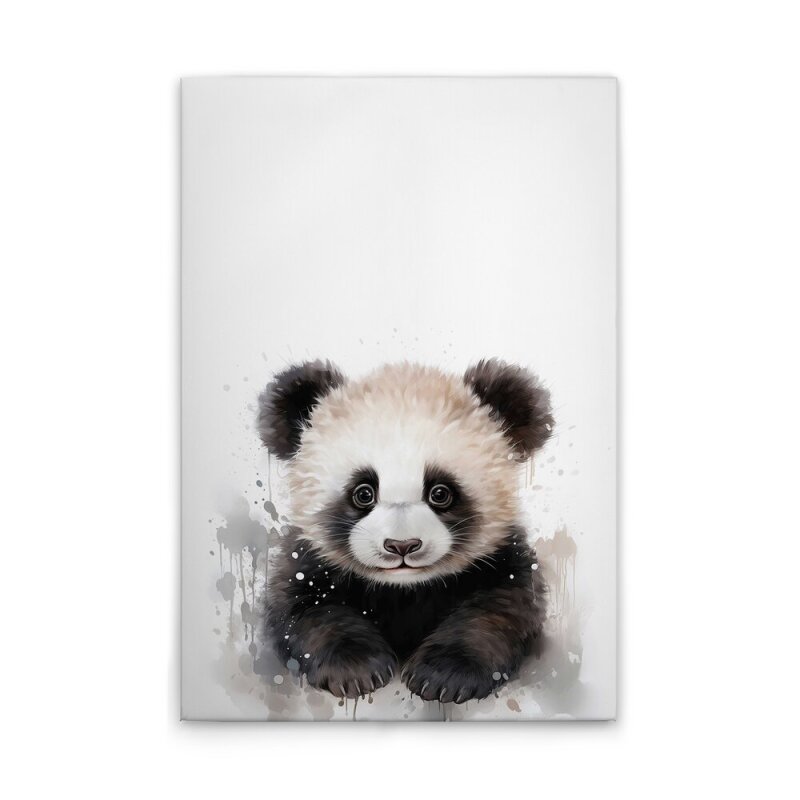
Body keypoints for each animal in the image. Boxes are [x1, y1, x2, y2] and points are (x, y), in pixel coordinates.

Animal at [257, 358, 553, 704]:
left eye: (440, 493)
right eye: (363, 493)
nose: (402, 545)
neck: (403, 588)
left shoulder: (501, 556)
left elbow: (499, 609)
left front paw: (445, 675)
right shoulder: (308, 557)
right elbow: (304, 608)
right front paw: (355, 668)